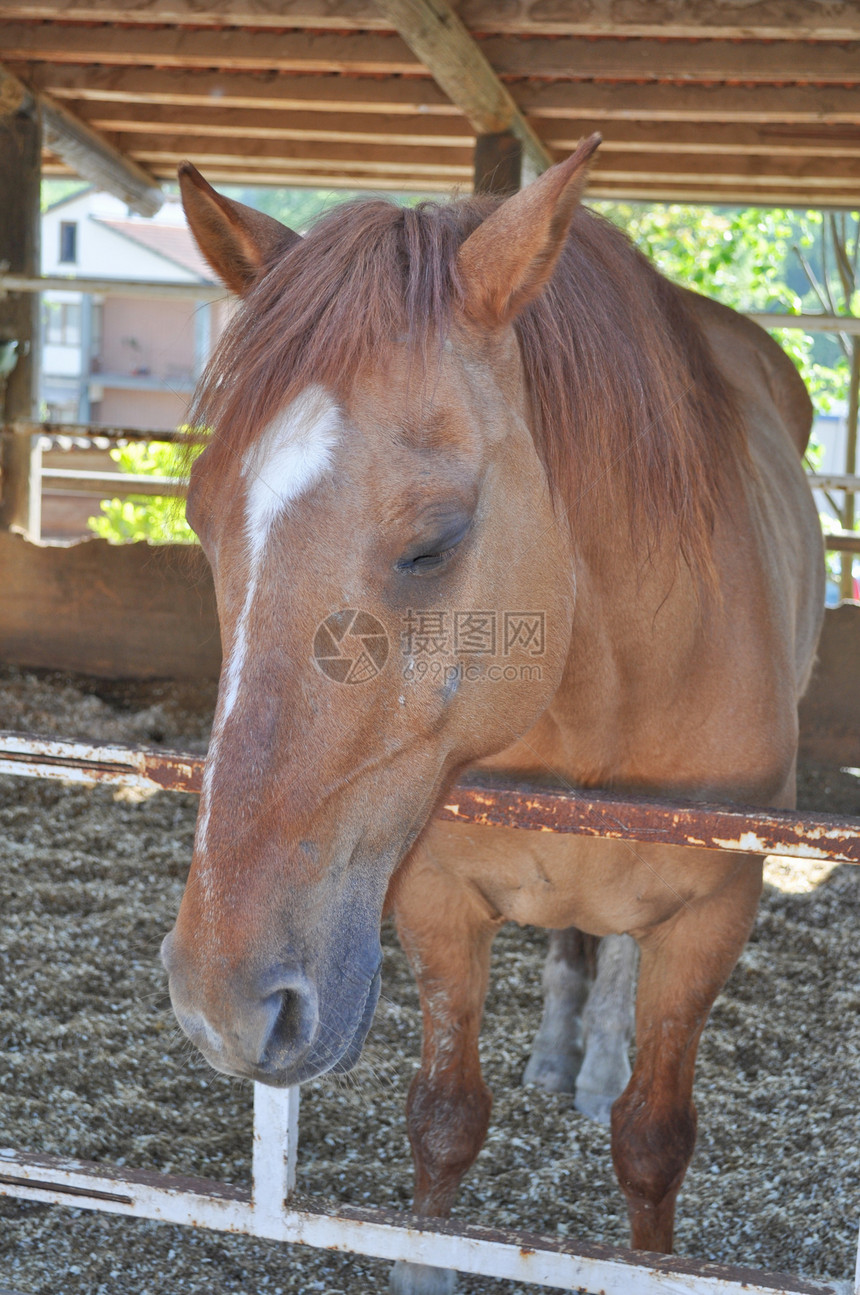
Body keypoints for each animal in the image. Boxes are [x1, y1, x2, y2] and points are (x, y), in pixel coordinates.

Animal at [163, 139, 828, 1284]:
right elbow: (444, 1118)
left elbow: (654, 1141)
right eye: (202, 518)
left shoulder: (712, 916)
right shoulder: (437, 894)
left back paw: (596, 1063)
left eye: (434, 540)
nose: (222, 1002)